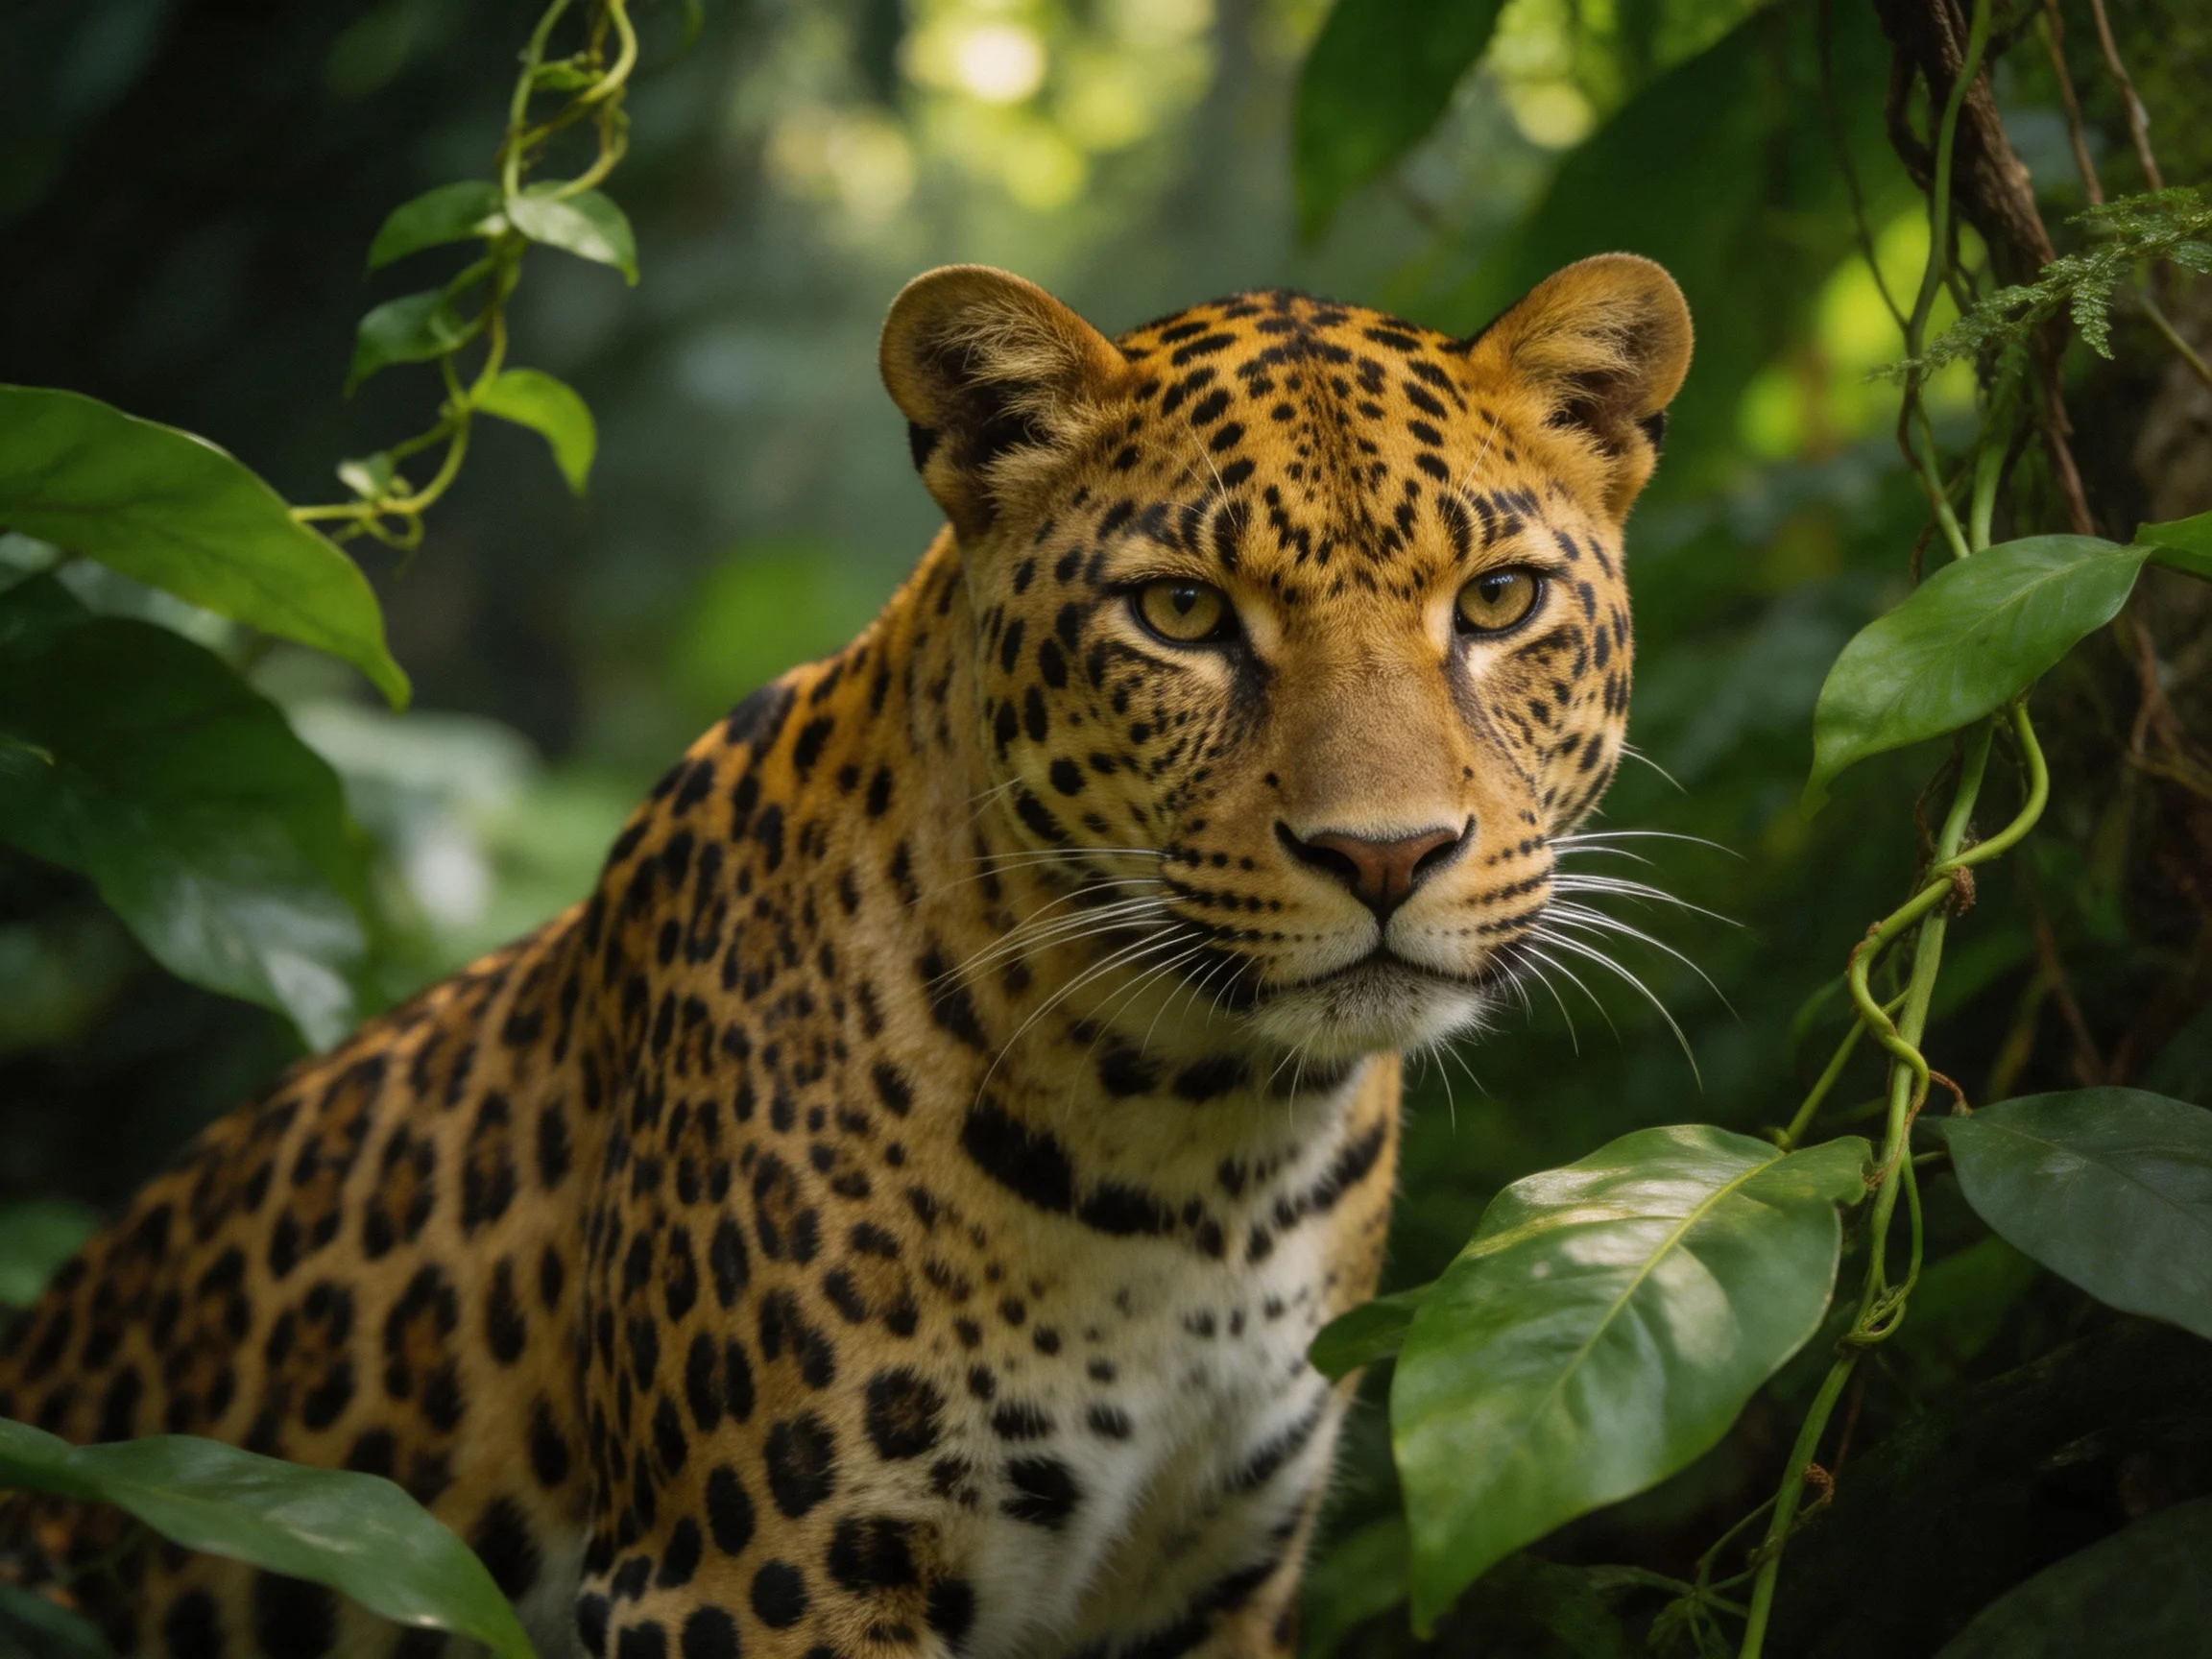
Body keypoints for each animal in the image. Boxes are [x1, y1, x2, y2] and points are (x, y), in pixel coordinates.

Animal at [0, 254, 1690, 1659]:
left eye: (1498, 600)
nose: (1386, 856)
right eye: (1182, 613)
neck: (1203, 1147)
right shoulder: (759, 1577)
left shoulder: (1208, 1580)